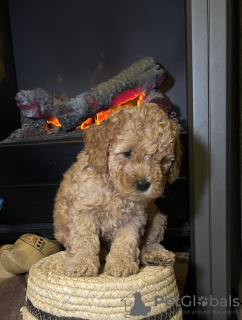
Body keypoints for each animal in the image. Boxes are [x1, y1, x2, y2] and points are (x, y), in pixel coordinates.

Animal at [53, 103, 182, 278]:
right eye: (127, 153)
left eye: (162, 161)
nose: (143, 184)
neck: (114, 189)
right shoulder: (83, 209)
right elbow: (84, 239)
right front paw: (82, 263)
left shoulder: (135, 216)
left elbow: (126, 240)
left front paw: (121, 263)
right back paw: (101, 254)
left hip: (158, 218)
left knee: (149, 241)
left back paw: (154, 254)